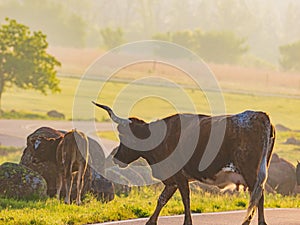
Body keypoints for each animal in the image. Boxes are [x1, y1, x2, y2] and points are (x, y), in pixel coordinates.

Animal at [93, 102, 274, 225]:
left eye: (124, 137)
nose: (116, 158)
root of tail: (260, 115)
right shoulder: (172, 180)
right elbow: (162, 199)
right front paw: (151, 221)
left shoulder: (179, 176)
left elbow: (185, 199)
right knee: (259, 196)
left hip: (250, 172)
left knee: (257, 196)